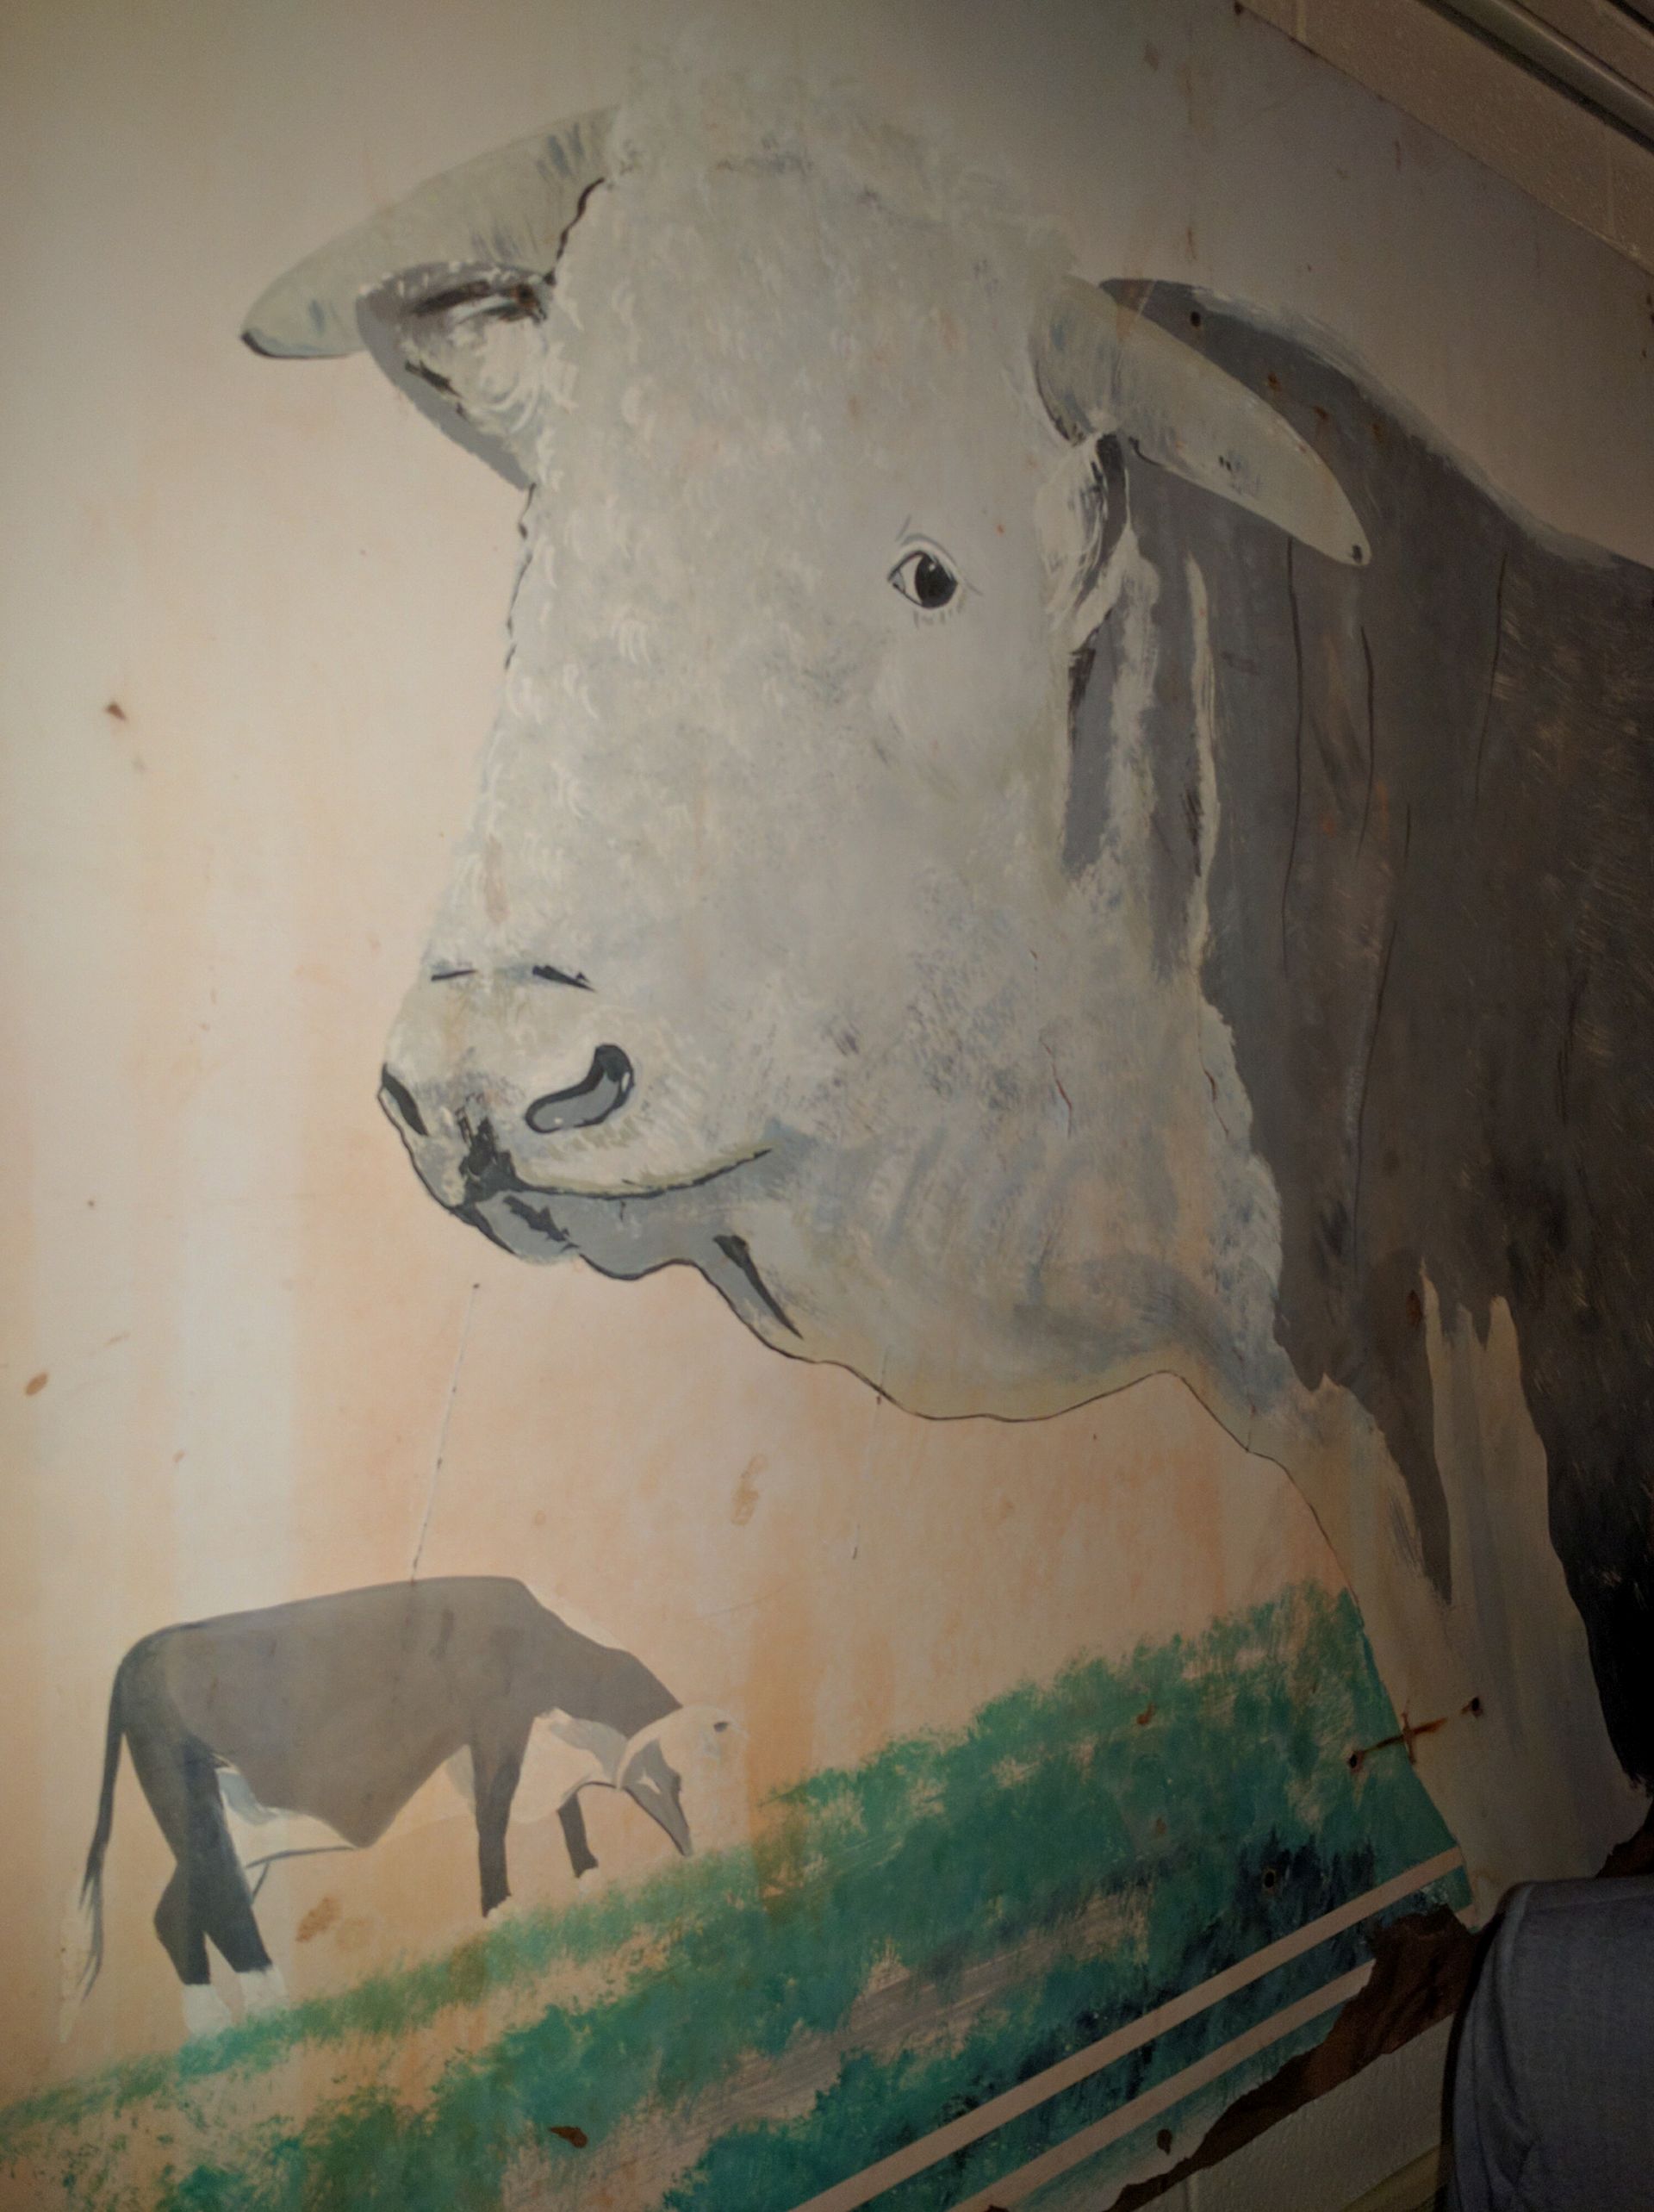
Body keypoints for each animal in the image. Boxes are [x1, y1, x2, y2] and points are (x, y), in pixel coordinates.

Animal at [68, 1577, 719, 2035]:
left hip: (240, 1827)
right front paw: (503, 1911)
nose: (692, 1847)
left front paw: (591, 1879)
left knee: (176, 1908)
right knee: (222, 1900)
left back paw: (210, 2027)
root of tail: (139, 1654)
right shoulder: (496, 1730)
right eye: (672, 1775)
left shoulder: (539, 1756)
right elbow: (493, 1818)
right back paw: (270, 2005)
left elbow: (570, 1814)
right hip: (188, 1788)